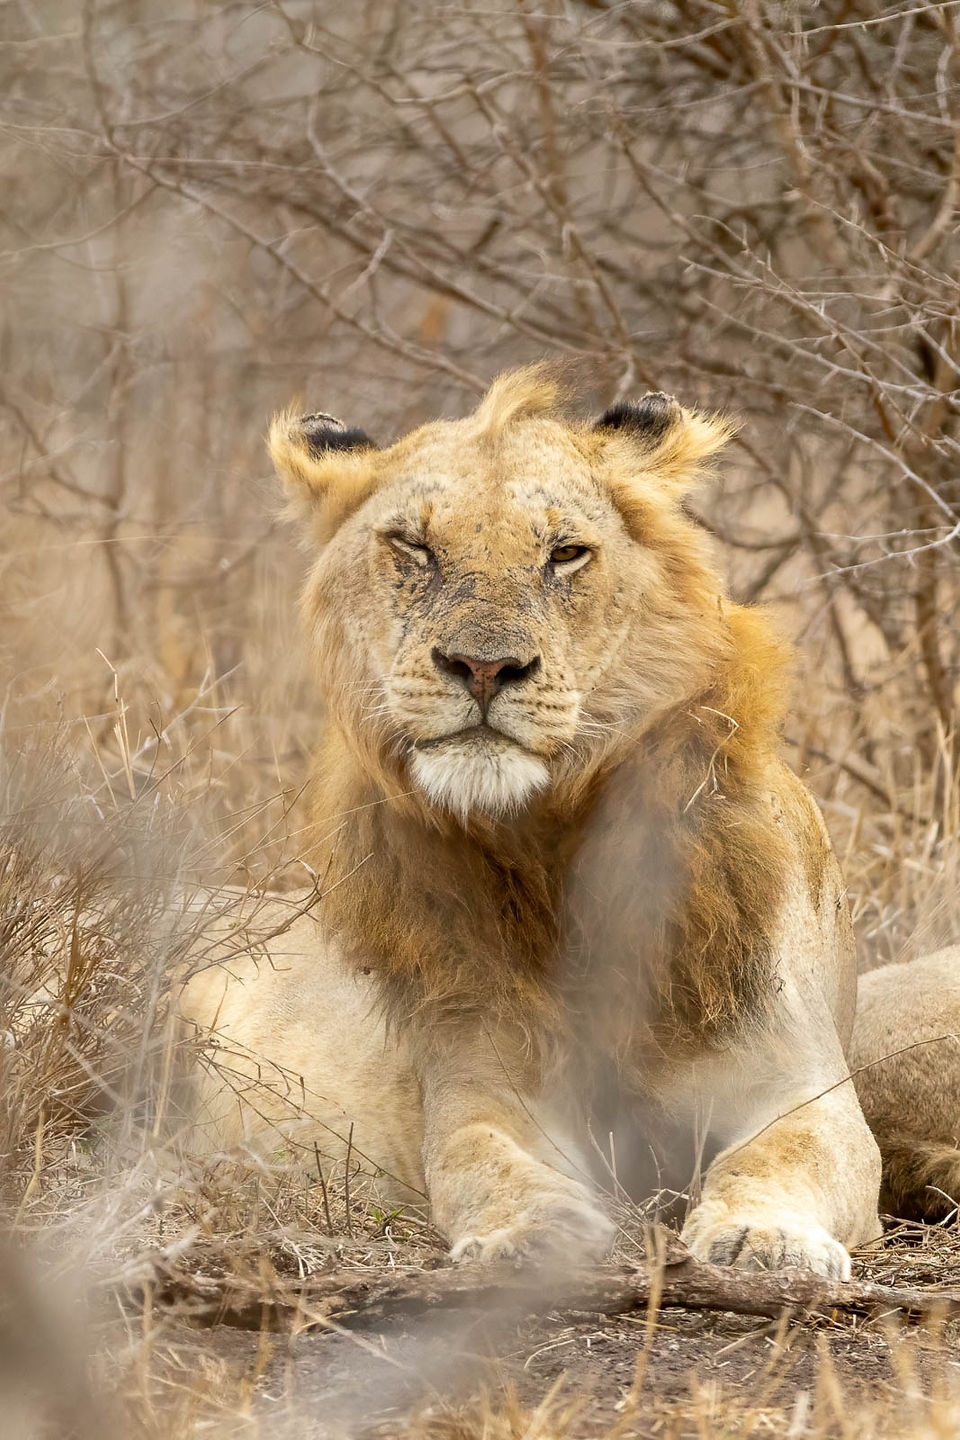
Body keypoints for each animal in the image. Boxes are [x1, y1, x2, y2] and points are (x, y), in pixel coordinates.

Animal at [180, 367, 887, 1278]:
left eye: (565, 552)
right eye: (413, 545)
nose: (484, 667)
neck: (553, 848)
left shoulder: (802, 1087)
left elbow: (787, 1152)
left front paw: (765, 1240)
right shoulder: (485, 1088)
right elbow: (486, 1159)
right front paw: (534, 1237)